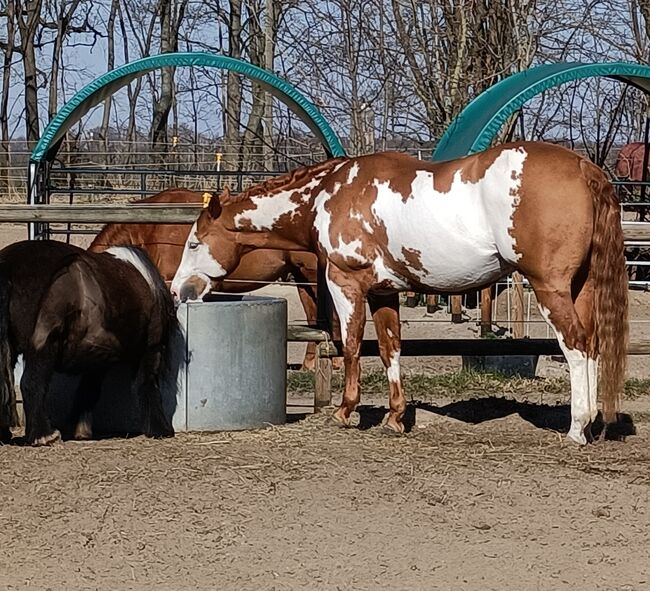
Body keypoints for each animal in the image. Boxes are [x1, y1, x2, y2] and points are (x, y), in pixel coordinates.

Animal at [0, 239, 177, 444]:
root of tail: (7, 267)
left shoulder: (98, 359)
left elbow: (87, 392)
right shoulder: (151, 349)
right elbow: (146, 385)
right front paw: (161, 429)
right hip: (43, 345)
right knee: (31, 383)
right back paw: (44, 435)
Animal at [172, 143, 628, 446]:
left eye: (194, 243)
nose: (179, 290)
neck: (328, 195)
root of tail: (582, 166)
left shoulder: (346, 282)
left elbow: (352, 345)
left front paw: (345, 411)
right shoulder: (384, 292)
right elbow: (391, 348)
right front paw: (395, 417)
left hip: (550, 288)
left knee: (576, 346)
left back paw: (577, 428)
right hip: (580, 288)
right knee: (592, 345)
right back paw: (593, 425)